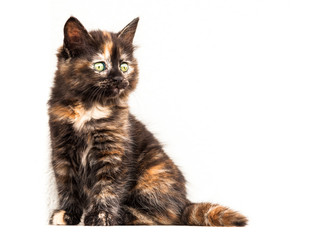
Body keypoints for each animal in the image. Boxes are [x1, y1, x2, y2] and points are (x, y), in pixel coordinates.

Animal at [47, 15, 246, 226]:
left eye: (124, 66)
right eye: (100, 66)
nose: (120, 80)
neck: (89, 108)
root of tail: (185, 202)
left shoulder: (113, 153)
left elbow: (107, 188)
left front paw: (100, 217)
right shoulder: (62, 151)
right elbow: (66, 186)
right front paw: (67, 214)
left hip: (153, 175)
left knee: (163, 216)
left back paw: (124, 215)